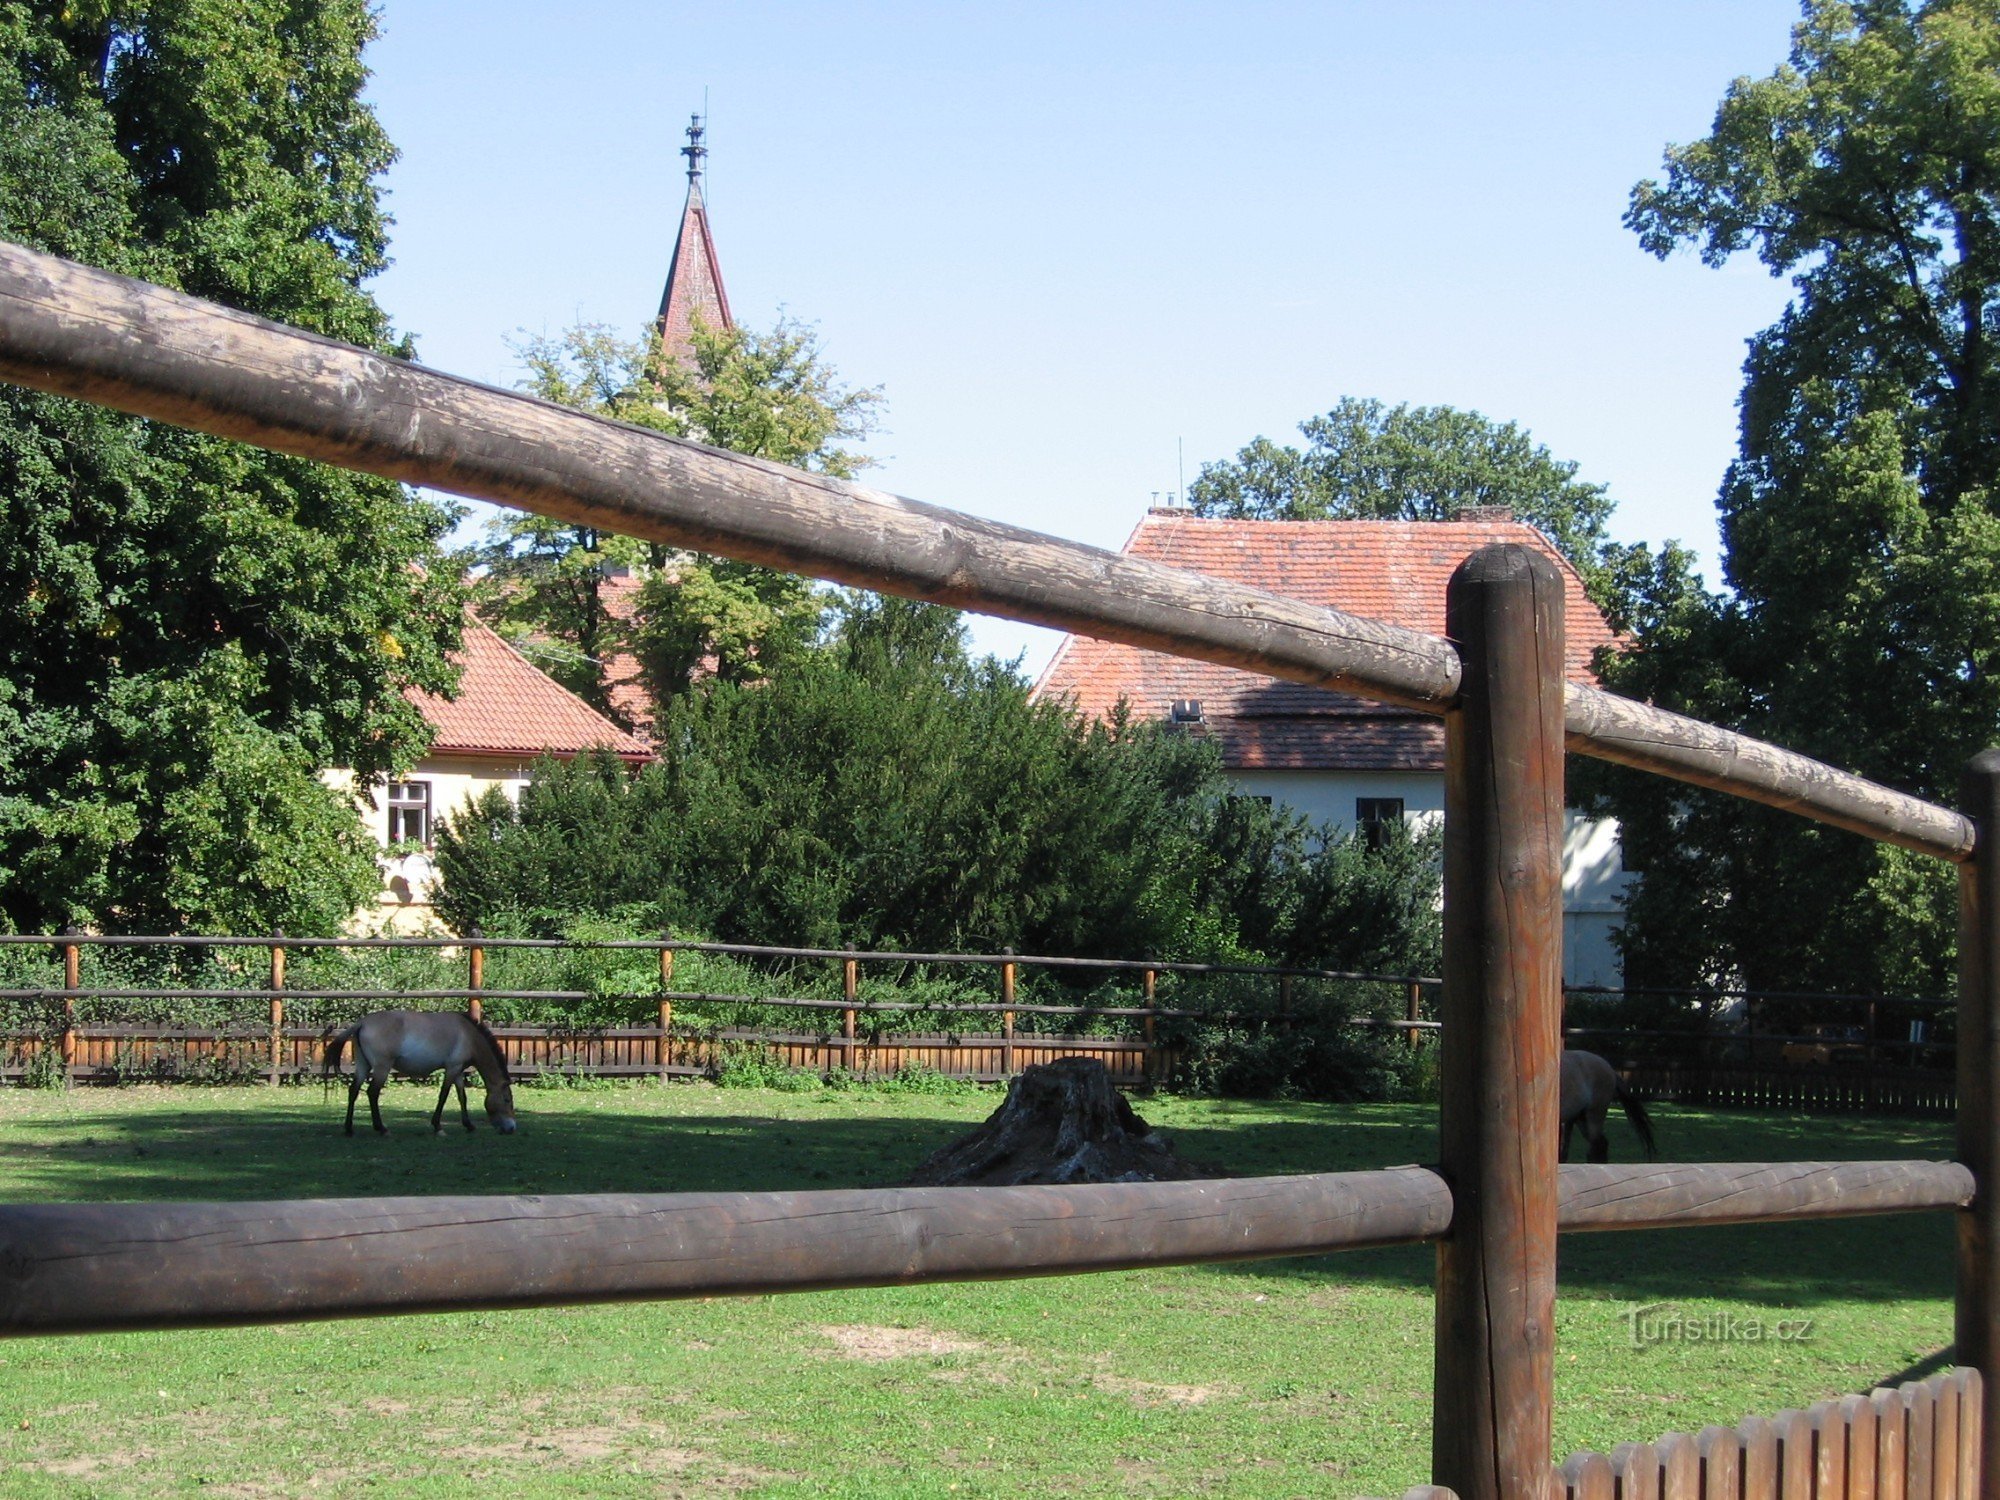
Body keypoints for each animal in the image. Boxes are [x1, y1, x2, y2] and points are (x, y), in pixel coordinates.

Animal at [324, 1012, 520, 1136]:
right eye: (507, 1100)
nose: (512, 1128)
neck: (469, 1035)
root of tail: (362, 1023)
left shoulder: (457, 1071)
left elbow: (462, 1097)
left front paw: (469, 1125)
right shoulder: (452, 1069)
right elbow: (443, 1096)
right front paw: (438, 1126)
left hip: (363, 1067)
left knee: (353, 1091)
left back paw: (349, 1129)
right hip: (381, 1068)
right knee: (372, 1093)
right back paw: (382, 1129)